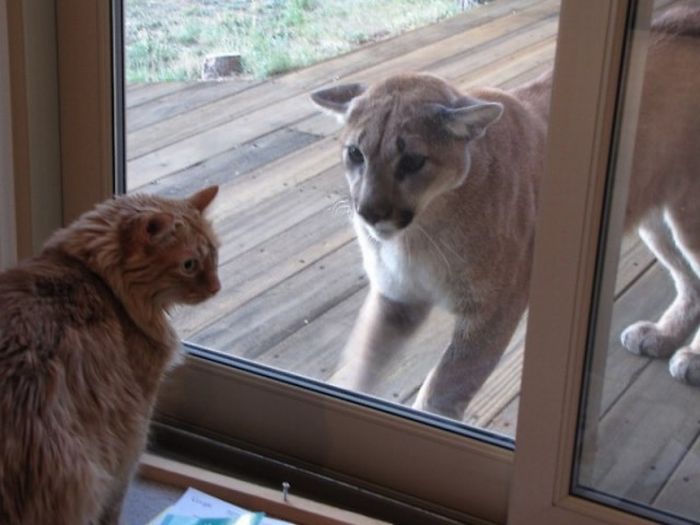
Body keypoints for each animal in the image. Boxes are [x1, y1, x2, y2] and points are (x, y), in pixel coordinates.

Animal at [0, 186, 219, 520]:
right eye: (189, 265)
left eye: (215, 255)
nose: (217, 288)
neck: (99, 281)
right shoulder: (131, 435)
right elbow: (115, 503)